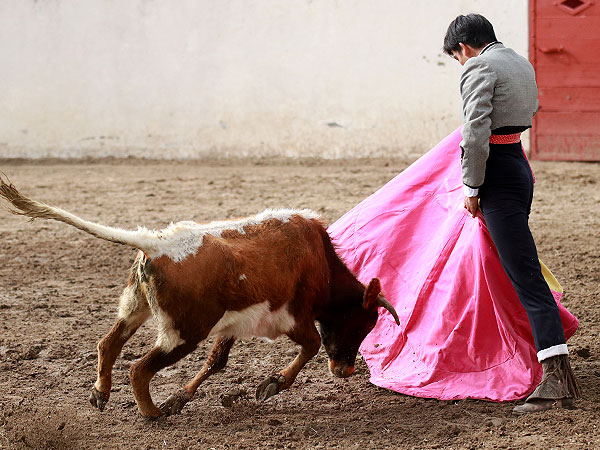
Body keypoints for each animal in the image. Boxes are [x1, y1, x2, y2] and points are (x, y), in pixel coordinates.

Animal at [2, 178, 400, 418]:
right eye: (361, 324)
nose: (346, 370)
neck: (318, 260)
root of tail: (156, 243)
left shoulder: (234, 324)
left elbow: (217, 362)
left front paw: (181, 397)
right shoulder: (291, 318)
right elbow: (312, 345)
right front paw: (271, 385)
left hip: (135, 307)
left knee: (108, 343)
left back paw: (102, 393)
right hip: (182, 333)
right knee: (138, 367)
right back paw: (152, 413)